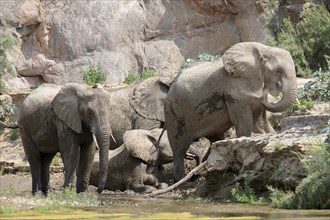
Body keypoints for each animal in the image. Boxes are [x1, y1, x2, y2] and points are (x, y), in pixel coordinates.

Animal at [166, 41, 298, 180]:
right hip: (173, 112)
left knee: (215, 138)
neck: (263, 49)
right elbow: (245, 125)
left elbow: (260, 123)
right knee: (179, 148)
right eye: (278, 71)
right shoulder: (234, 90)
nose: (267, 91)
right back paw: (181, 178)